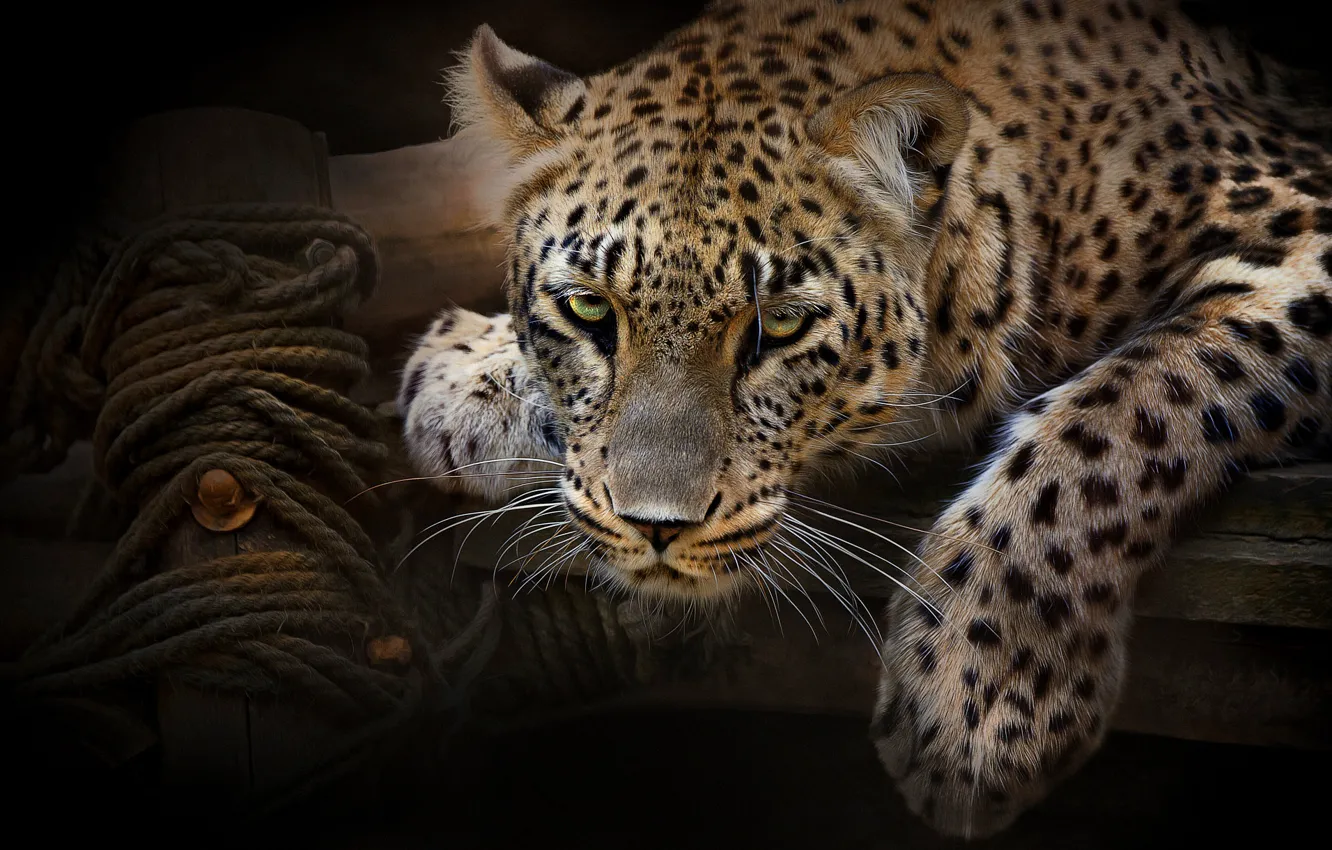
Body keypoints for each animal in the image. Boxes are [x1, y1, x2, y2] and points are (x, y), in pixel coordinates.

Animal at [396, 0, 1332, 838]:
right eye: (589, 308)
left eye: (779, 326)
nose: (654, 527)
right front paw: (466, 374)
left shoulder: (1305, 228)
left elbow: (1122, 413)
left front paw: (982, 699)